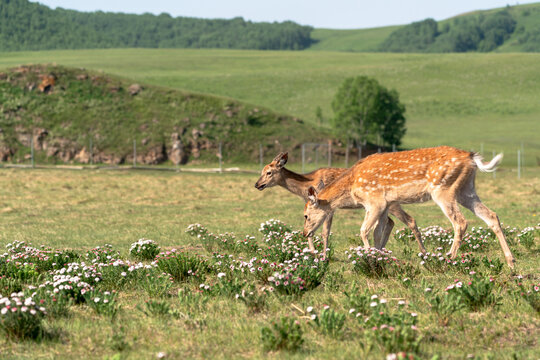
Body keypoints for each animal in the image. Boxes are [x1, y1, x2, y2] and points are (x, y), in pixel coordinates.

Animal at [255, 152, 428, 258]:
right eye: (261, 171)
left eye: (269, 172)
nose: (257, 184)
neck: (306, 185)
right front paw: (314, 252)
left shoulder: (329, 208)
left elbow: (325, 232)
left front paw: (323, 255)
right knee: (390, 222)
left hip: (392, 204)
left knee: (409, 220)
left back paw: (422, 252)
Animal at [302, 146, 516, 268]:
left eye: (305, 215)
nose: (304, 233)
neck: (352, 188)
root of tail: (472, 158)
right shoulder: (385, 205)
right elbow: (378, 233)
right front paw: (380, 258)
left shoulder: (375, 201)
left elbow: (364, 231)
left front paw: (369, 257)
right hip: (466, 189)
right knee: (492, 216)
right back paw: (511, 261)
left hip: (443, 189)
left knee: (460, 222)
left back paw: (449, 258)